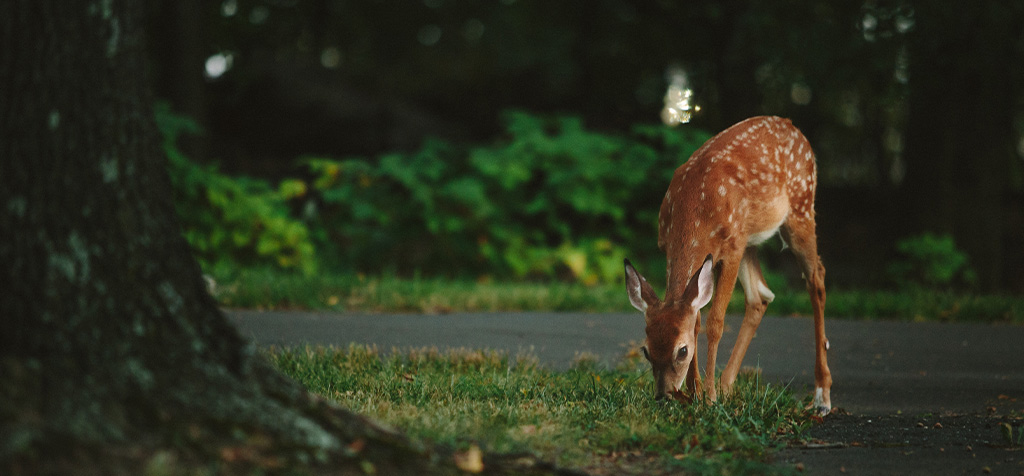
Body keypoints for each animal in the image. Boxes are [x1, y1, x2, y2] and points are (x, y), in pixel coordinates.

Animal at [622, 116, 831, 415]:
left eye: (682, 351)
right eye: (646, 350)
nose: (664, 395)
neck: (695, 210)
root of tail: (792, 126)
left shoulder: (731, 249)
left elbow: (715, 322)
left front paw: (707, 397)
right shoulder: (673, 248)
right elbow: (696, 318)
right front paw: (696, 393)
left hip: (800, 208)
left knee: (816, 279)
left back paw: (822, 396)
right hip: (750, 239)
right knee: (760, 295)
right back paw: (726, 386)